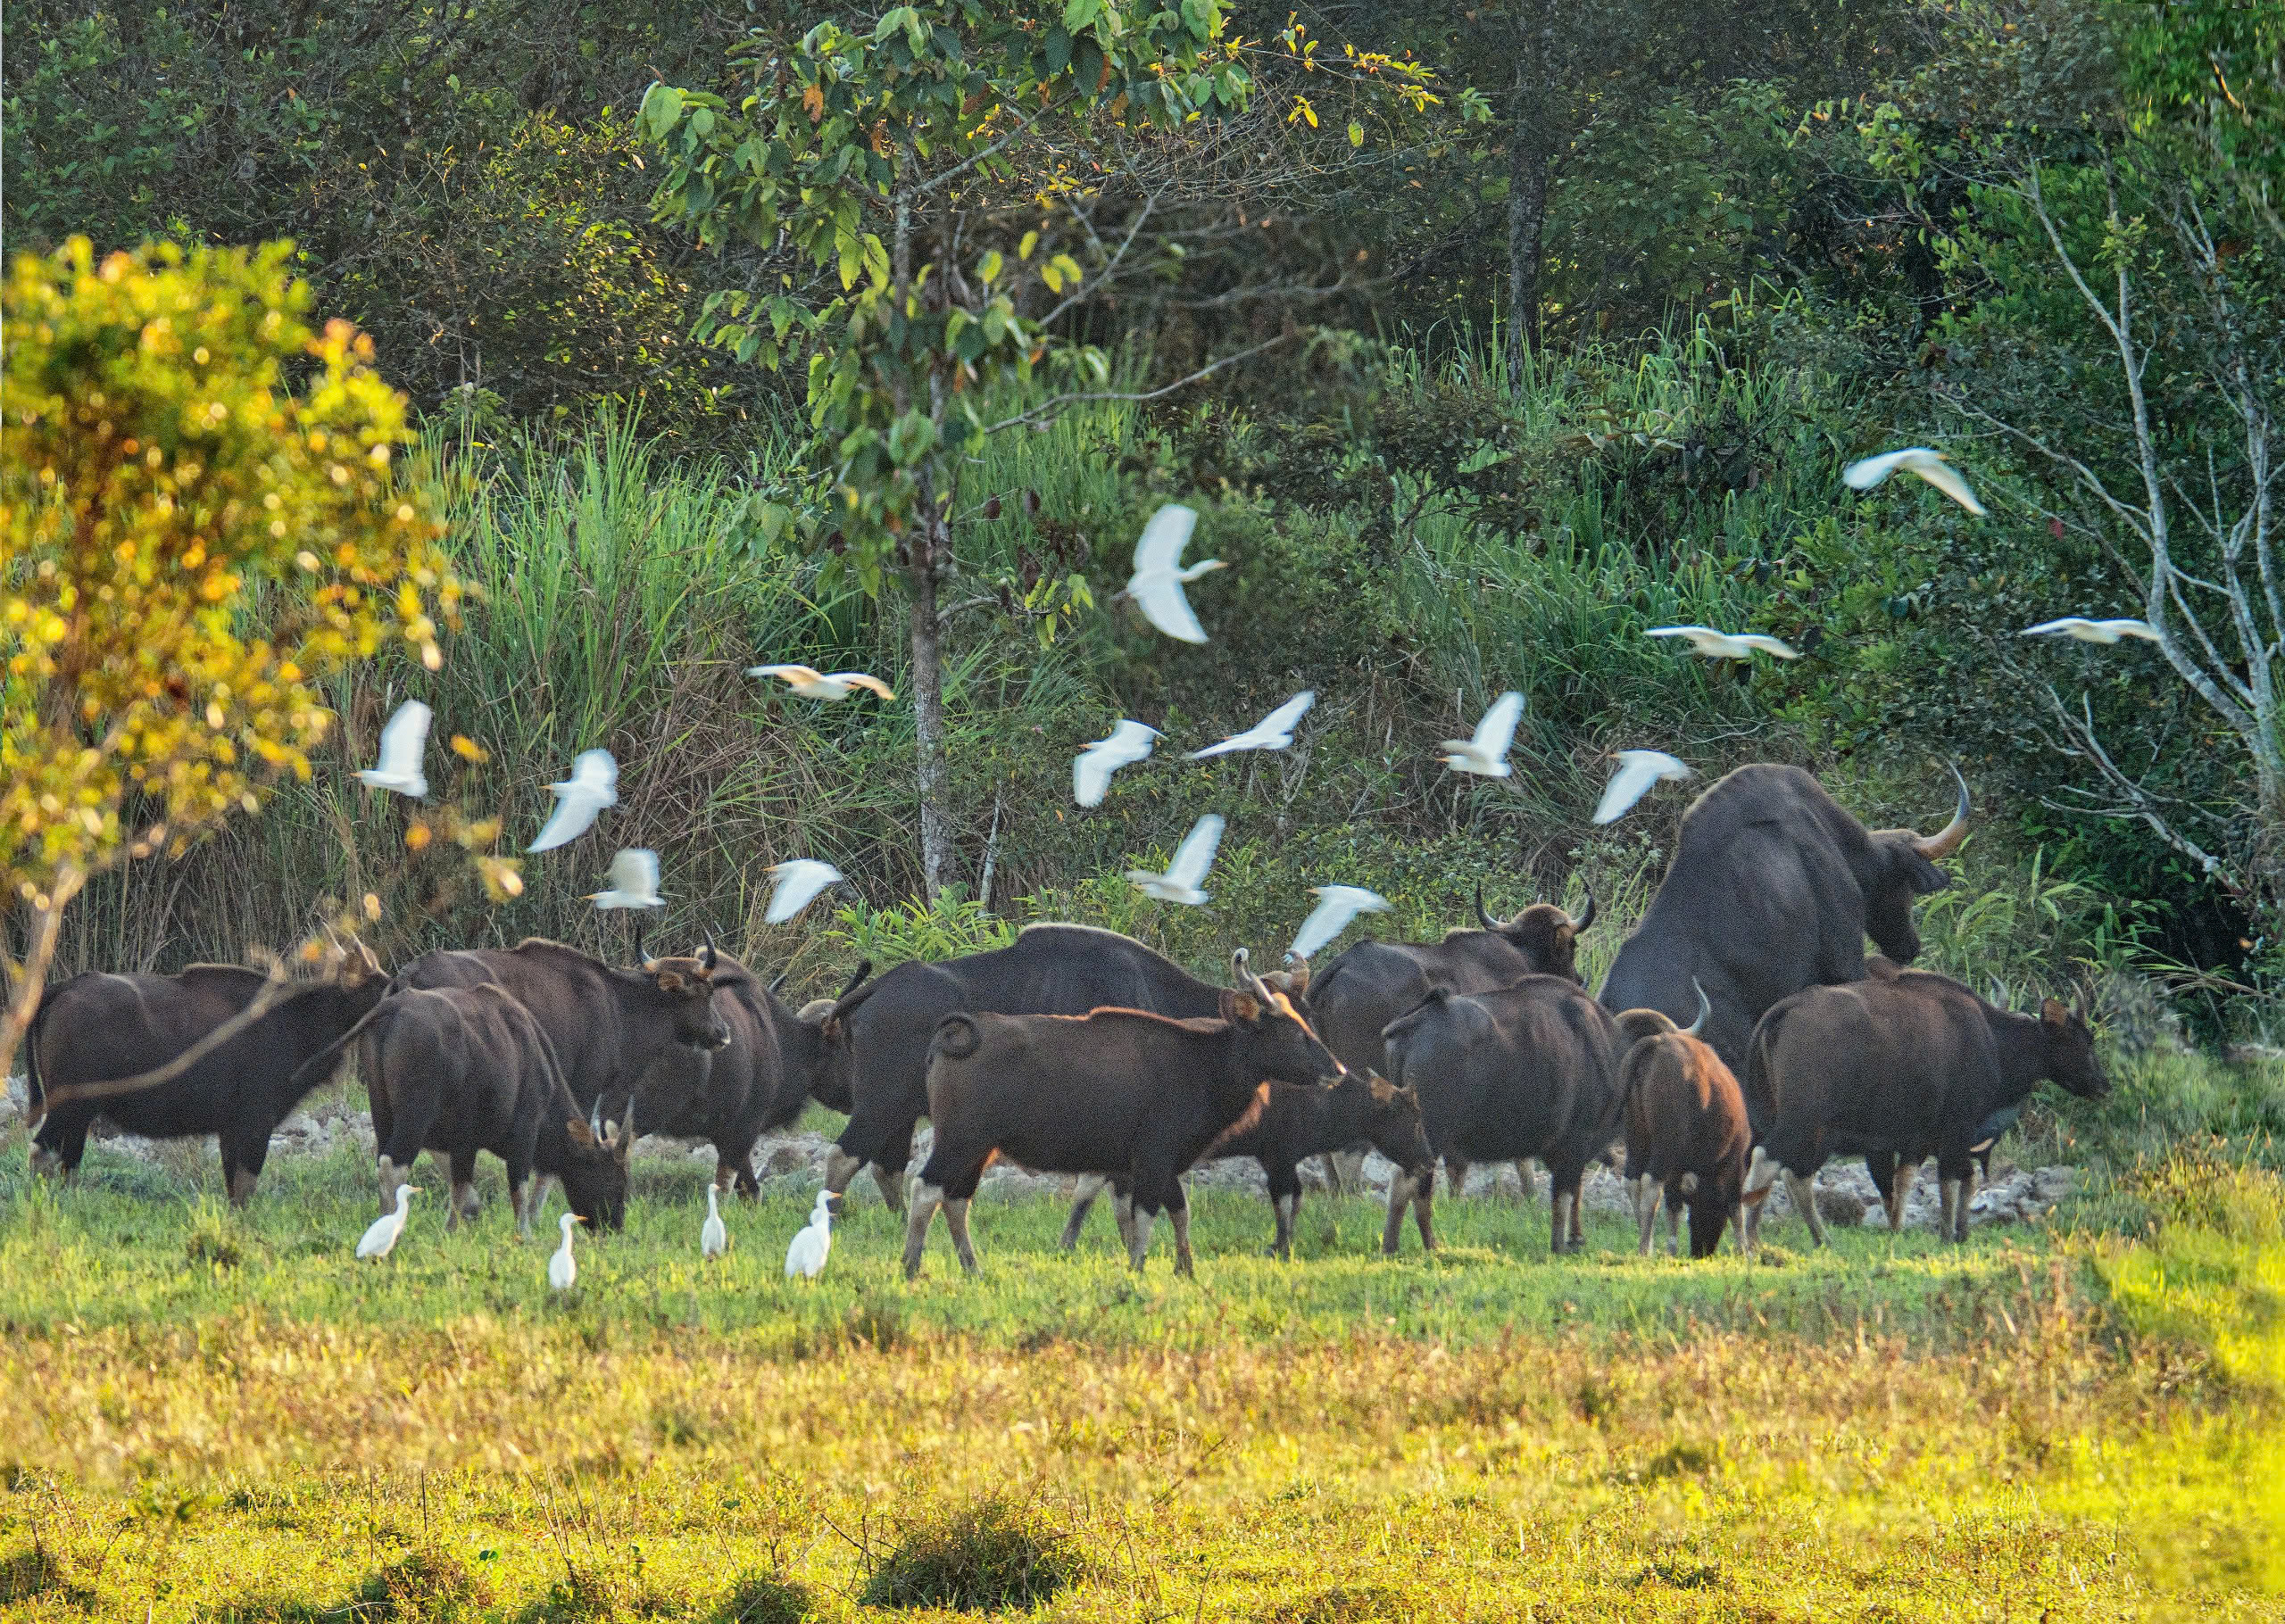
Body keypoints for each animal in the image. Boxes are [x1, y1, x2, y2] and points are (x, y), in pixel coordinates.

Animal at [904, 954, 1343, 1279]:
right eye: (1292, 1031)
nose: (1337, 1070)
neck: (1201, 1063)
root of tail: (957, 1035)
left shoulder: (1156, 1164)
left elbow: (1177, 1210)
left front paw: (1185, 1270)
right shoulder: (1154, 1156)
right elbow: (1147, 1212)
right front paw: (1137, 1269)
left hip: (979, 1149)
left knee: (956, 1199)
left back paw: (973, 1269)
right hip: (960, 1141)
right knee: (926, 1189)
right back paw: (910, 1267)